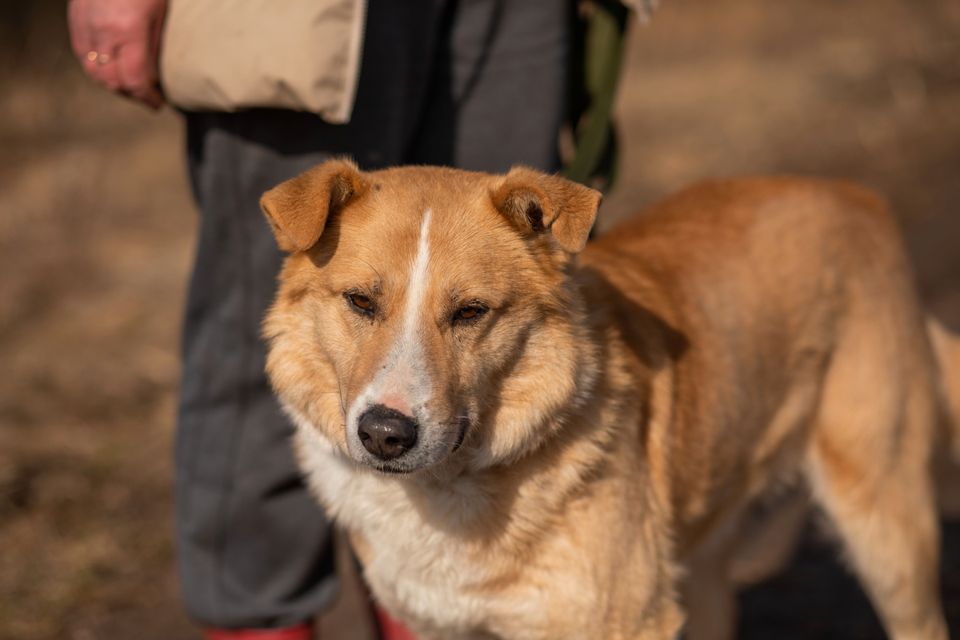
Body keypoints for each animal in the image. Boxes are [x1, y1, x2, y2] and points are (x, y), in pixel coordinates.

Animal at [258, 161, 956, 640]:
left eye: (470, 312)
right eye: (360, 302)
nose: (385, 433)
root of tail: (854, 194)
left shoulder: (626, 622)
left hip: (888, 533)